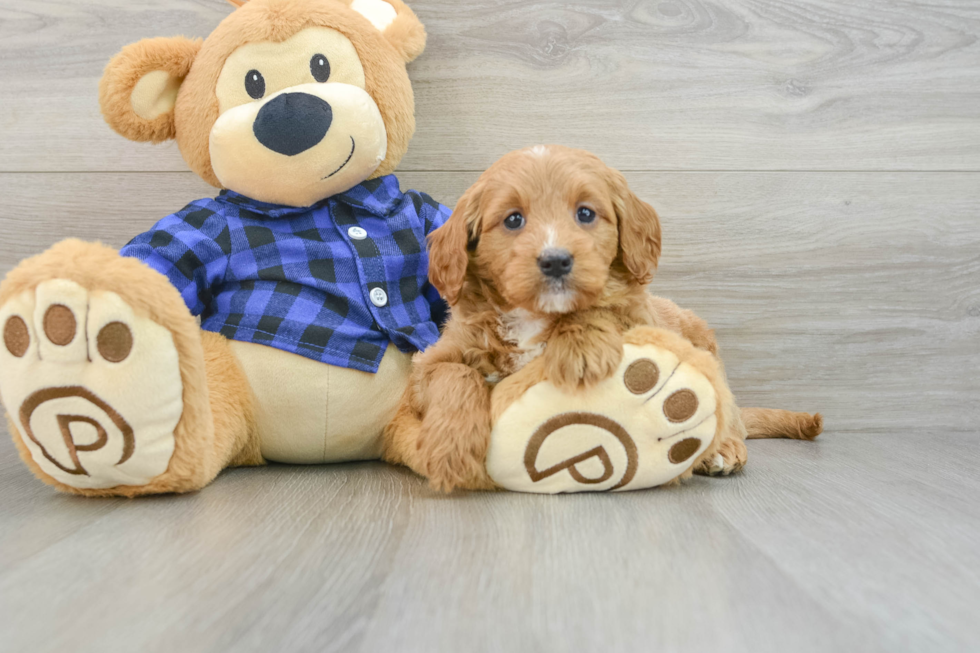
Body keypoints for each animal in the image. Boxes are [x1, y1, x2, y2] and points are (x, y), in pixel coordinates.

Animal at [382, 144, 820, 488]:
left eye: (586, 214)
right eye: (513, 219)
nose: (556, 261)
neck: (533, 317)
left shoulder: (639, 317)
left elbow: (602, 304)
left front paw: (580, 348)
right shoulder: (432, 362)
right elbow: (455, 375)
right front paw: (451, 448)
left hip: (704, 345)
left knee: (728, 413)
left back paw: (723, 448)